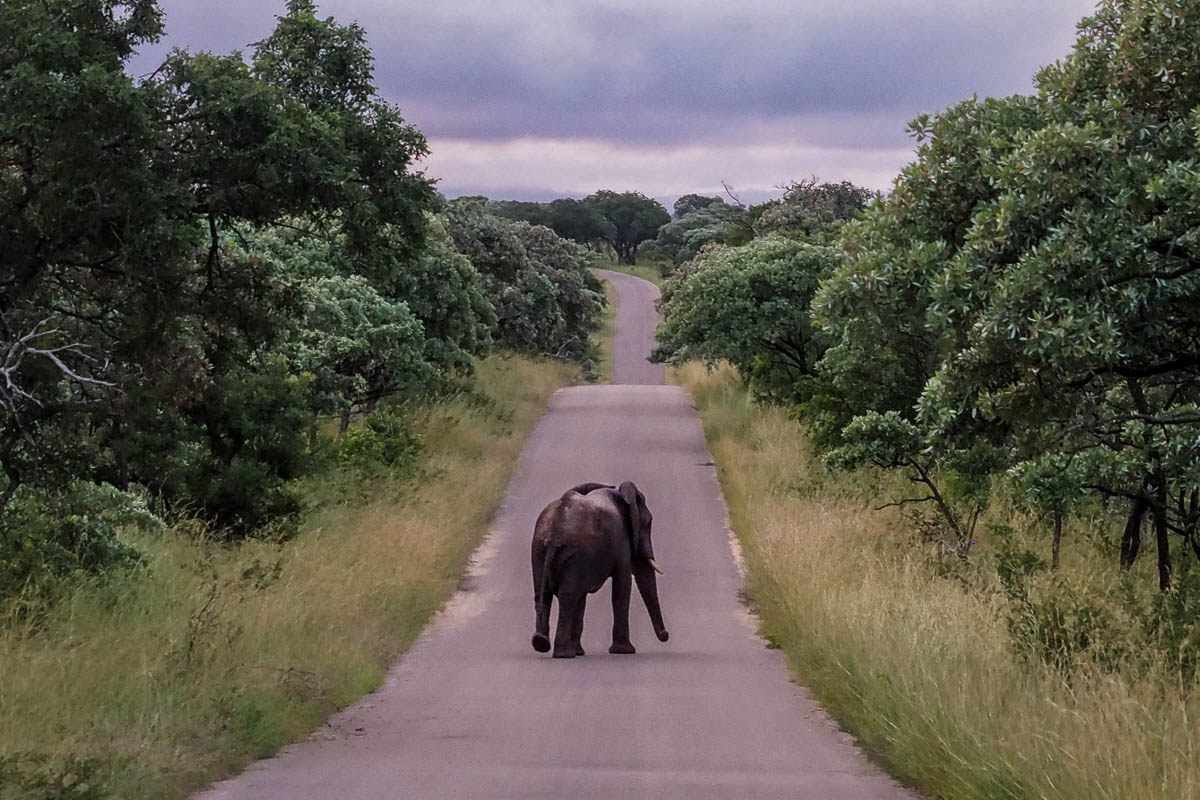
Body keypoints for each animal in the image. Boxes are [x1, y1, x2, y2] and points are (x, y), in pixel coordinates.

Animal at [530, 481, 669, 658]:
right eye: (648, 523)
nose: (665, 635)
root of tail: (555, 535)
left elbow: (582, 597)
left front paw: (579, 651)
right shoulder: (621, 543)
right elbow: (622, 586)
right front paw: (624, 651)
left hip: (539, 549)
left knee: (546, 594)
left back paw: (542, 643)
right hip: (574, 551)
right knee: (568, 595)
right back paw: (564, 653)